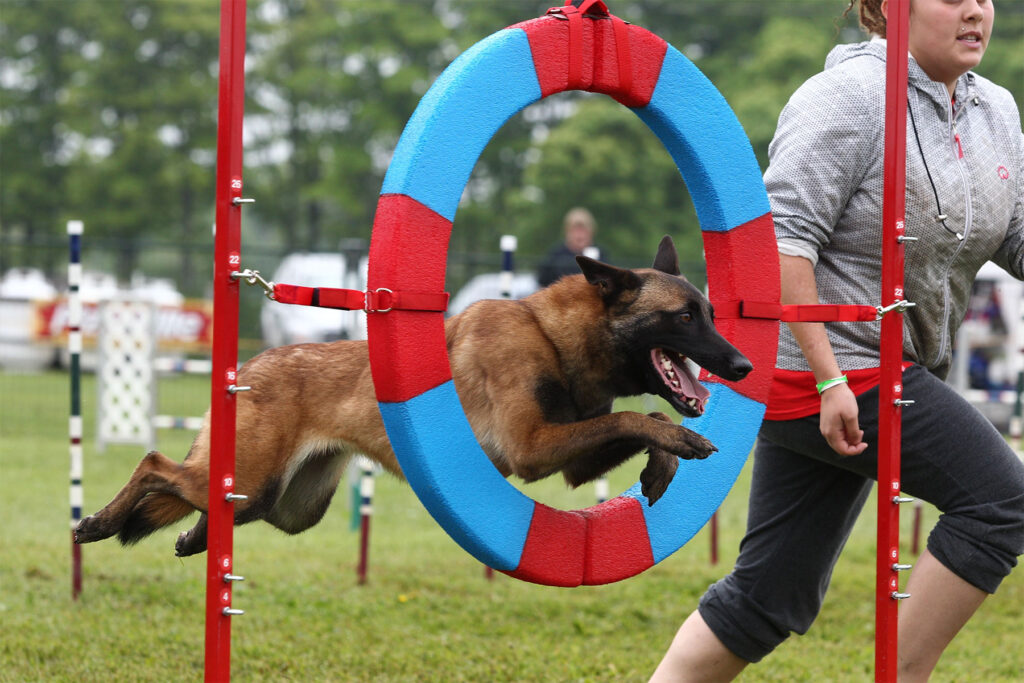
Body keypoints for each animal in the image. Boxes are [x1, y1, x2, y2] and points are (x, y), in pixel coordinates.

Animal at [74, 235, 753, 557]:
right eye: (684, 317)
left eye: (709, 312)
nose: (744, 365)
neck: (552, 337)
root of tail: (249, 366)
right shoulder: (533, 449)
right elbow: (642, 417)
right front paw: (679, 442)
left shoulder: (570, 460)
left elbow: (636, 419)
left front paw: (664, 463)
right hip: (249, 473)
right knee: (154, 462)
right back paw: (97, 522)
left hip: (279, 504)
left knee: (203, 501)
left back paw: (194, 539)